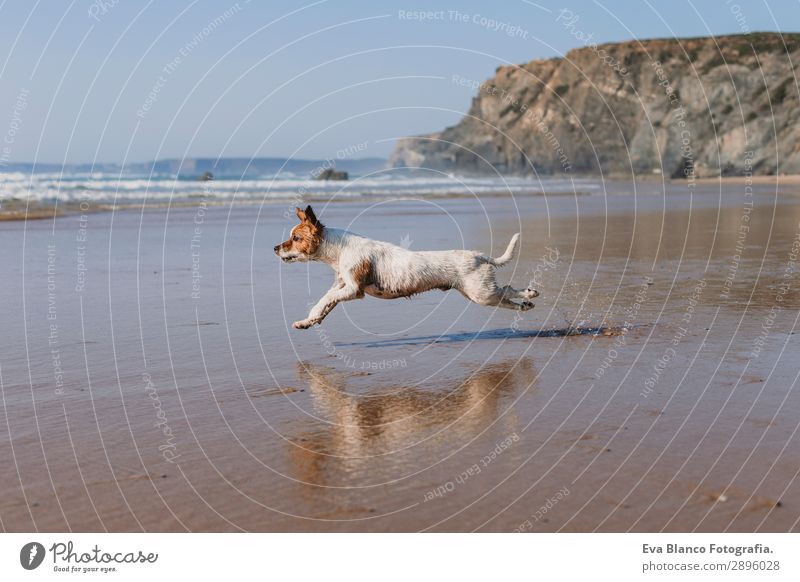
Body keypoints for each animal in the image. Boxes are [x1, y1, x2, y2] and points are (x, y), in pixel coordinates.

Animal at [276, 208, 536, 330]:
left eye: (296, 238)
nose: (275, 248)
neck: (339, 249)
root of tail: (479, 255)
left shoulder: (353, 289)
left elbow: (325, 300)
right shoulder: (342, 286)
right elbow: (324, 304)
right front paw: (308, 322)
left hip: (481, 293)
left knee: (508, 290)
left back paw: (529, 294)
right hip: (479, 294)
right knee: (506, 298)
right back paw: (526, 303)